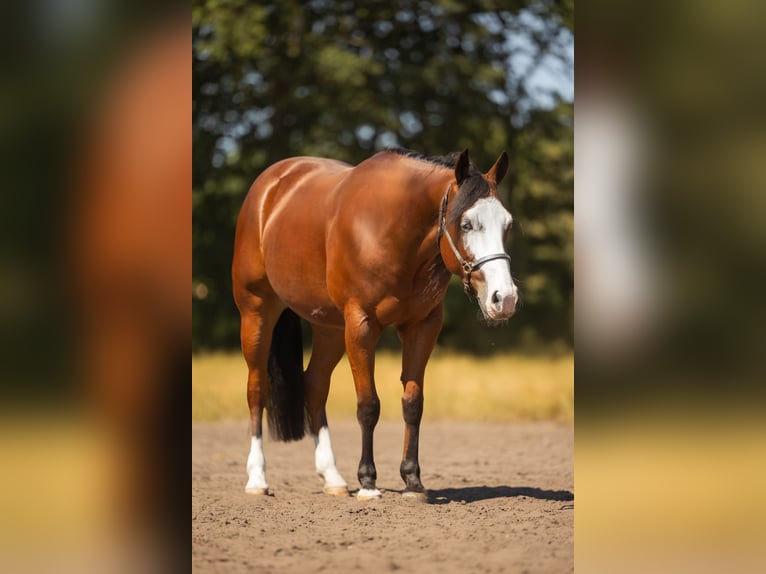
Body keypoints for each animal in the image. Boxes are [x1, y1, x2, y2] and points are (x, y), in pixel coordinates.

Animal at [232, 147, 518, 500]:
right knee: (257, 389)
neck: (391, 232)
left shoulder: (423, 326)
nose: (504, 298)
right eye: (466, 224)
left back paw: (333, 477)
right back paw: (257, 479)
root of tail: (269, 186)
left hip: (330, 328)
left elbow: (413, 403)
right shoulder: (361, 324)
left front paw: (412, 481)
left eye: (507, 224)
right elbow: (368, 405)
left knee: (315, 385)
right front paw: (368, 482)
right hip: (256, 312)